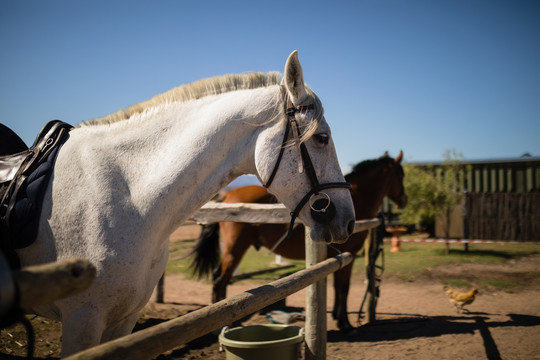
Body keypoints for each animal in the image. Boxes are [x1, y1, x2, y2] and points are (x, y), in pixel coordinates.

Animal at [190, 150, 404, 330]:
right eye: (401, 175)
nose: (404, 199)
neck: (356, 200)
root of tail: (226, 196)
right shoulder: (349, 254)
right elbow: (343, 288)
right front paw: (345, 323)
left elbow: (339, 287)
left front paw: (339, 317)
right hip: (235, 249)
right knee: (220, 280)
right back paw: (223, 326)